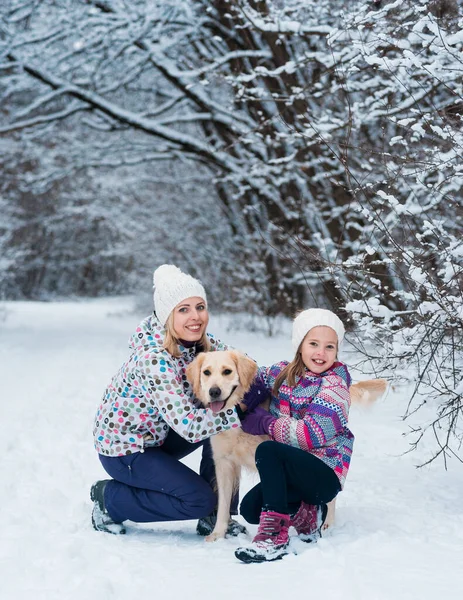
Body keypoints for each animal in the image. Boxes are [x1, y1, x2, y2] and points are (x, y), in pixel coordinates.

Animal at [186, 350, 388, 540]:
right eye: (206, 372)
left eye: (227, 371)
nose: (214, 392)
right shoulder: (224, 464)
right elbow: (223, 504)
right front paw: (218, 534)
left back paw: (326, 523)